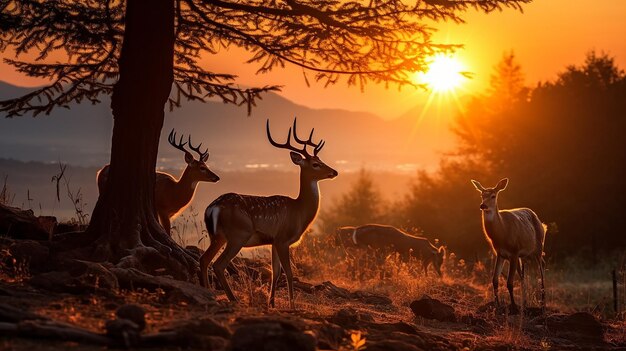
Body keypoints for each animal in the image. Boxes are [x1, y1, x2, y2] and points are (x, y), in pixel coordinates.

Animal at [199, 119, 336, 310]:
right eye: (315, 164)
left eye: (321, 160)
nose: (334, 172)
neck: (299, 211)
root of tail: (212, 207)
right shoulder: (282, 239)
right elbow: (288, 272)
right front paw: (292, 306)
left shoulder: (273, 241)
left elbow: (275, 272)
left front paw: (271, 303)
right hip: (238, 234)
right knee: (218, 264)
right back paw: (233, 299)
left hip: (218, 236)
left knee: (204, 259)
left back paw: (207, 292)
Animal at [470, 179, 544, 314]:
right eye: (482, 195)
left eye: (493, 196)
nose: (483, 205)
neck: (503, 232)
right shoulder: (501, 254)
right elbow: (494, 280)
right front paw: (497, 305)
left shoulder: (514, 252)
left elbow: (509, 283)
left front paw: (513, 307)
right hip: (522, 256)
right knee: (523, 276)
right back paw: (525, 304)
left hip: (539, 247)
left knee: (542, 271)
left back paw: (542, 305)